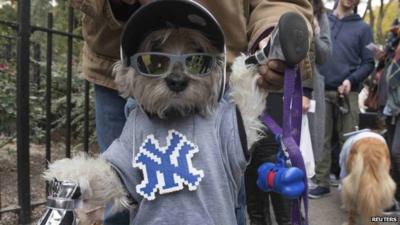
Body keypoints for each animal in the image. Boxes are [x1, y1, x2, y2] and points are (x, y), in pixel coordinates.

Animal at [39, 25, 266, 223]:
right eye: (155, 55)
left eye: (197, 55)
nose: (177, 81)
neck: (172, 115)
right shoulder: (123, 163)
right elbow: (104, 175)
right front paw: (68, 169)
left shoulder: (235, 131)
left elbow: (246, 100)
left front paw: (245, 65)